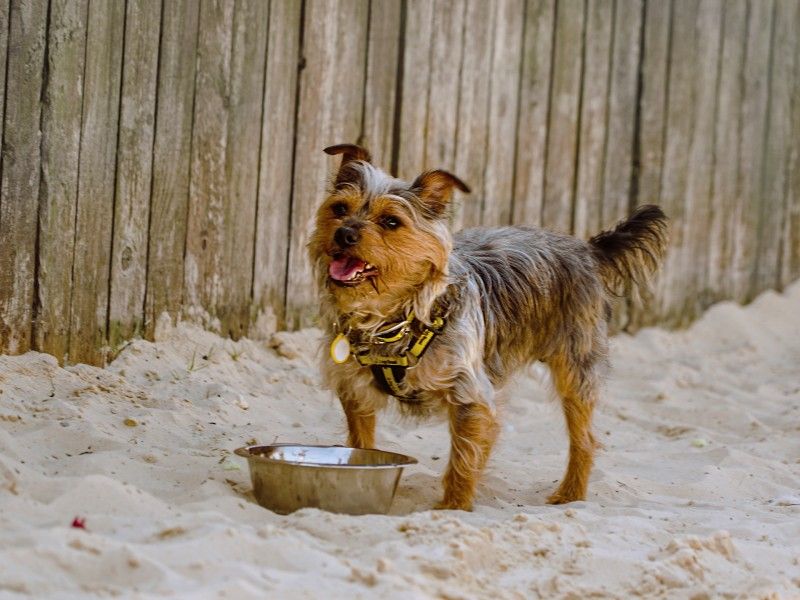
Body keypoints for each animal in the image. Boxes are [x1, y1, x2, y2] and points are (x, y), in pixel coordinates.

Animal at [308, 143, 668, 508]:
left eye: (390, 221)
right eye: (340, 208)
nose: (344, 233)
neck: (396, 316)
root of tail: (587, 248)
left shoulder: (471, 394)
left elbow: (464, 459)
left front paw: (452, 507)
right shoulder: (354, 390)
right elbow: (361, 445)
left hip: (576, 367)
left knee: (585, 438)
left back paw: (570, 495)